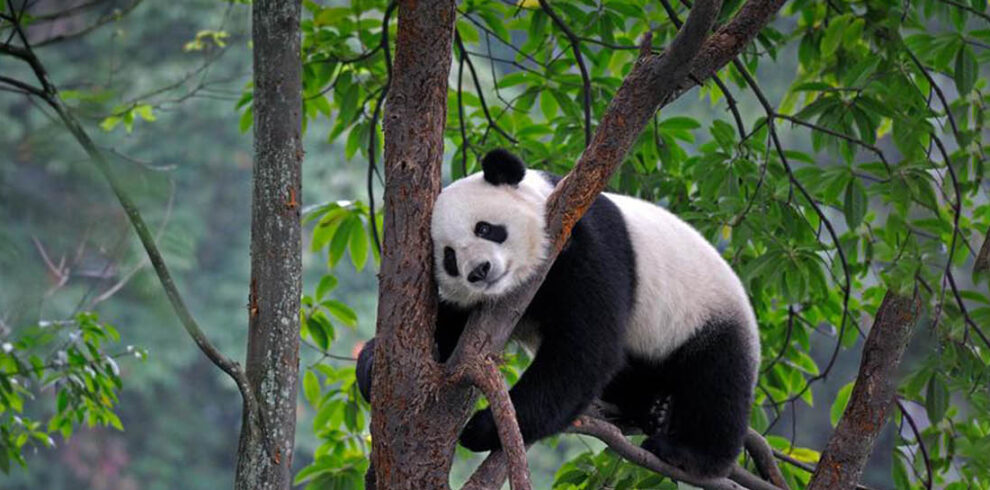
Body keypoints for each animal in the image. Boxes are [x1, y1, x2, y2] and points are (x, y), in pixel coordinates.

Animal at [357, 148, 760, 478]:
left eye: (485, 228)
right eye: (450, 258)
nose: (480, 271)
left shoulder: (585, 243)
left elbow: (584, 350)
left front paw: (483, 427)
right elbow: (448, 333)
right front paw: (373, 366)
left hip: (706, 312)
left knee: (716, 380)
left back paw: (688, 453)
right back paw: (650, 409)